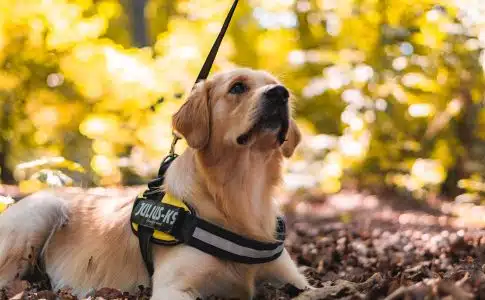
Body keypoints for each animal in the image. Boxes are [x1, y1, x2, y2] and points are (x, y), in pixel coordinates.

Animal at [0, 69, 308, 298]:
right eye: (237, 87)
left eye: (276, 85)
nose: (280, 93)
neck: (241, 195)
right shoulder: (174, 287)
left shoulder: (293, 278)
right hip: (40, 211)